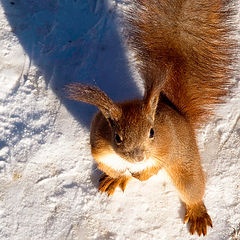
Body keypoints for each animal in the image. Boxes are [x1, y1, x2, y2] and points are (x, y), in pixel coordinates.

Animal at [65, 0, 236, 236]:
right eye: (117, 137)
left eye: (152, 132)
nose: (138, 158)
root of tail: (179, 114)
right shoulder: (99, 146)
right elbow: (111, 167)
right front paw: (118, 176)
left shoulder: (167, 145)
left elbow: (157, 165)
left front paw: (141, 175)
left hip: (186, 162)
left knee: (192, 189)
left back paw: (197, 212)